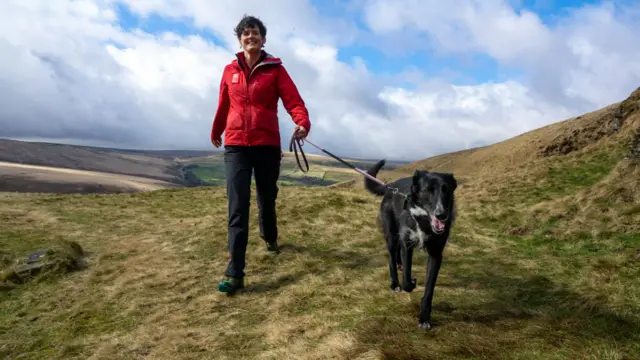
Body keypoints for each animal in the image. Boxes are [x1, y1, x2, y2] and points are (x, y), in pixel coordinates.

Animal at [362, 159, 458, 330]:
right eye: (427, 190)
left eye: (446, 190)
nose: (442, 215)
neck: (423, 220)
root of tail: (391, 187)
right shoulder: (408, 245)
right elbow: (406, 280)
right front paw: (411, 282)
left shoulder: (436, 254)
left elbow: (429, 290)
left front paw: (424, 318)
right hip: (391, 235)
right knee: (391, 257)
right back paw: (395, 283)